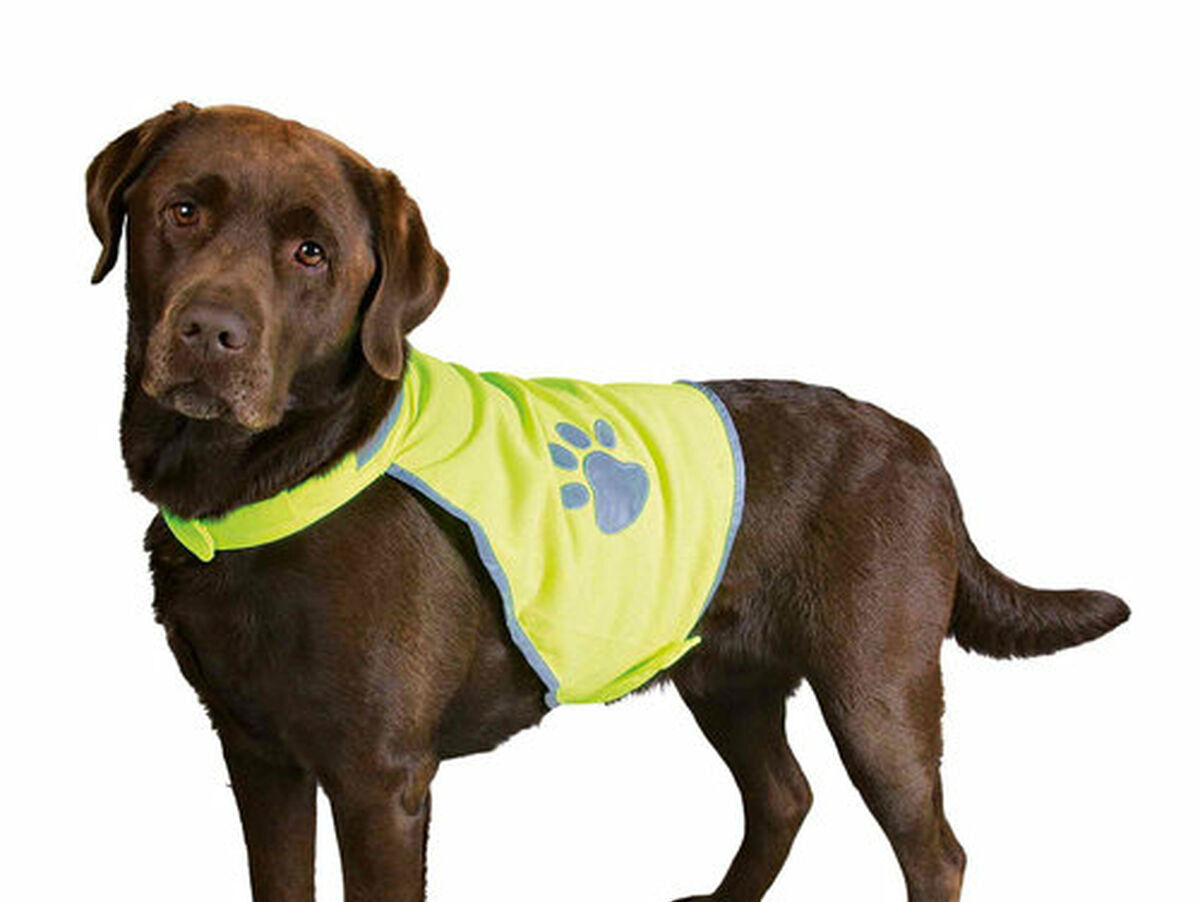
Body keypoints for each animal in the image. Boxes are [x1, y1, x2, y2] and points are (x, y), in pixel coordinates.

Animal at [86, 102, 1129, 902]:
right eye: (182, 210)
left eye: (312, 253)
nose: (211, 332)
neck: (260, 481)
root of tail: (923, 447)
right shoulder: (257, 753)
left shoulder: (378, 777)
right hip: (729, 676)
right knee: (783, 796)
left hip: (878, 687)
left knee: (932, 848)